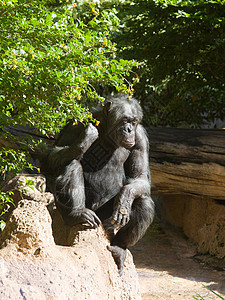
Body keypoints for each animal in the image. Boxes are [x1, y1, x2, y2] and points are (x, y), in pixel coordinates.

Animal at [42, 94, 155, 274]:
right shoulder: (76, 124)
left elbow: (140, 177)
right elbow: (51, 156)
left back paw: (119, 247)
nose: (129, 130)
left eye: (134, 121)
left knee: (144, 203)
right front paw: (85, 139)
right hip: (89, 215)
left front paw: (124, 201)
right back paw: (77, 214)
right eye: (124, 120)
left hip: (106, 222)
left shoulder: (141, 138)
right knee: (71, 164)